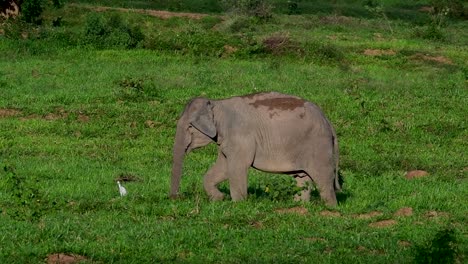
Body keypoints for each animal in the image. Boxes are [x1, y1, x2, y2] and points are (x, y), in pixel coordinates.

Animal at [170, 92, 342, 206]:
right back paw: (299, 206)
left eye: (189, 127)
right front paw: (219, 199)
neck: (217, 104)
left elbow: (237, 167)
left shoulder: (241, 136)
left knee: (323, 179)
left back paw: (330, 209)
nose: (175, 198)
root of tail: (328, 122)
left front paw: (238, 205)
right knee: (302, 177)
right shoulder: (227, 139)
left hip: (318, 146)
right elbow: (223, 167)